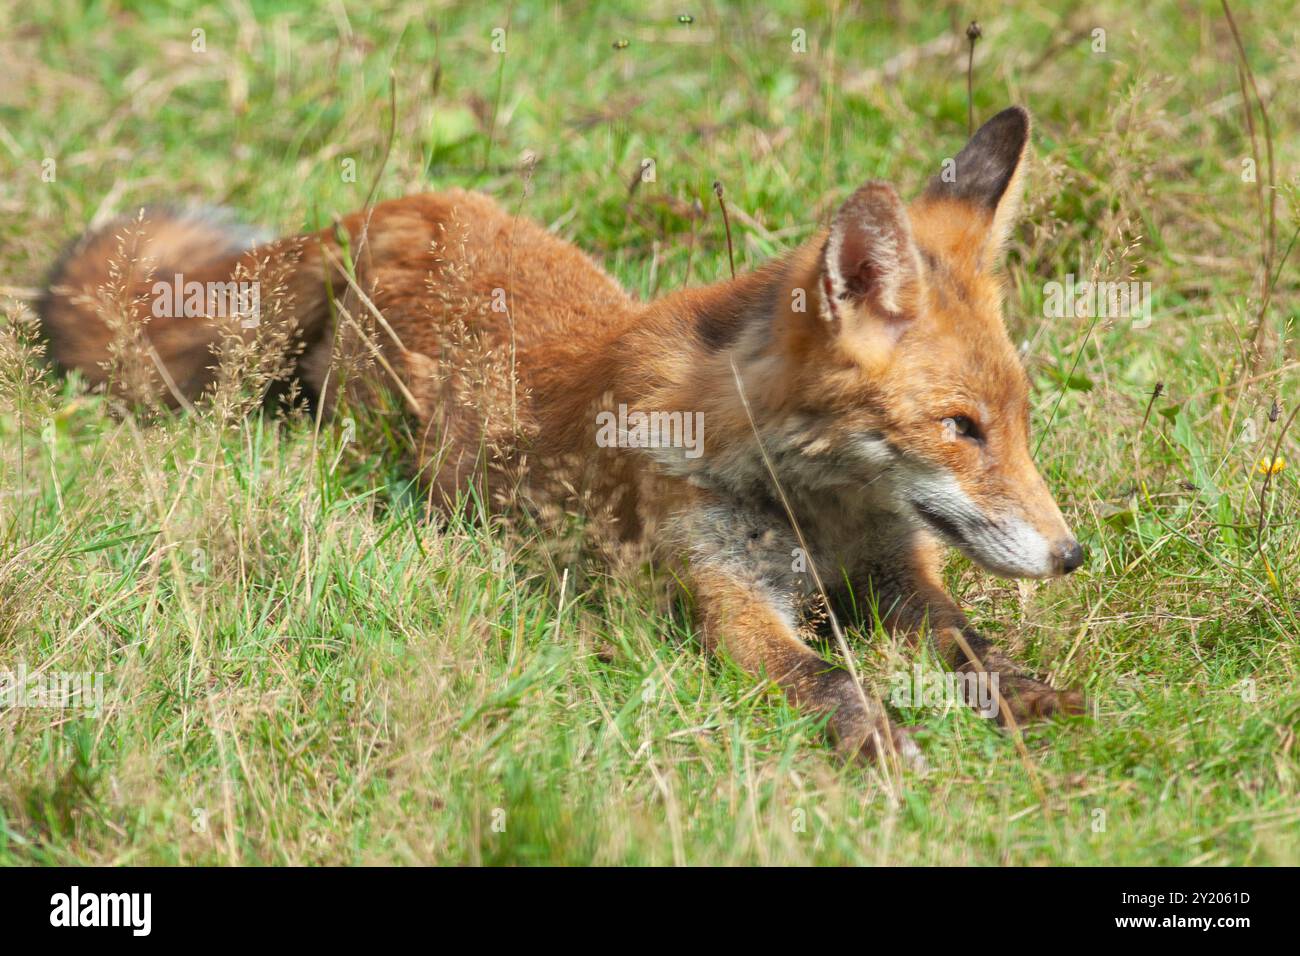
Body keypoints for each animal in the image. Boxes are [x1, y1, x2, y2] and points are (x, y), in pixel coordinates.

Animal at [40, 106, 1081, 764]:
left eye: (1019, 421)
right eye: (960, 428)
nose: (1071, 557)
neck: (822, 516)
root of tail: (394, 208)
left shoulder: (900, 574)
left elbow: (969, 641)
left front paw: (1023, 688)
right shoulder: (731, 605)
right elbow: (826, 679)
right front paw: (877, 733)